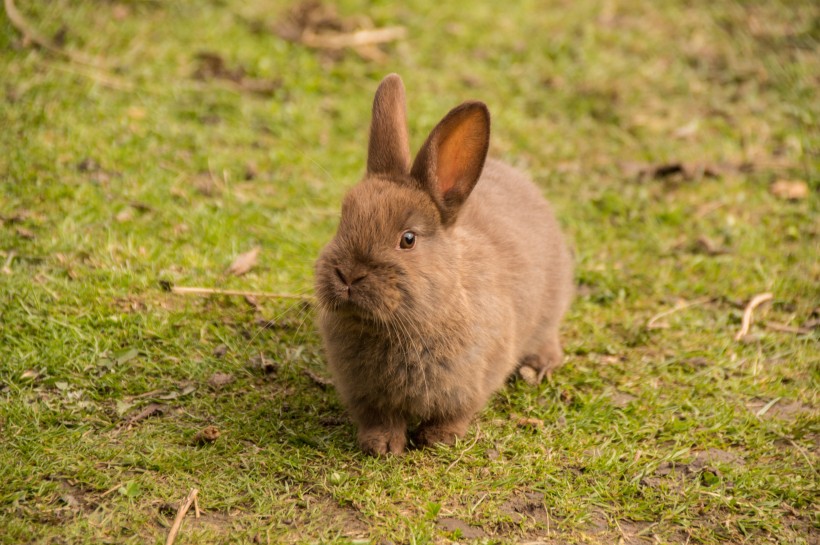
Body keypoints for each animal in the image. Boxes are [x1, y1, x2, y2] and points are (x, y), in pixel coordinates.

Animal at [310, 72, 572, 454]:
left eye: (408, 239)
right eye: (343, 221)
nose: (348, 275)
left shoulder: (473, 382)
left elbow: (455, 414)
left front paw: (438, 440)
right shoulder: (366, 397)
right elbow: (380, 419)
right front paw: (381, 446)